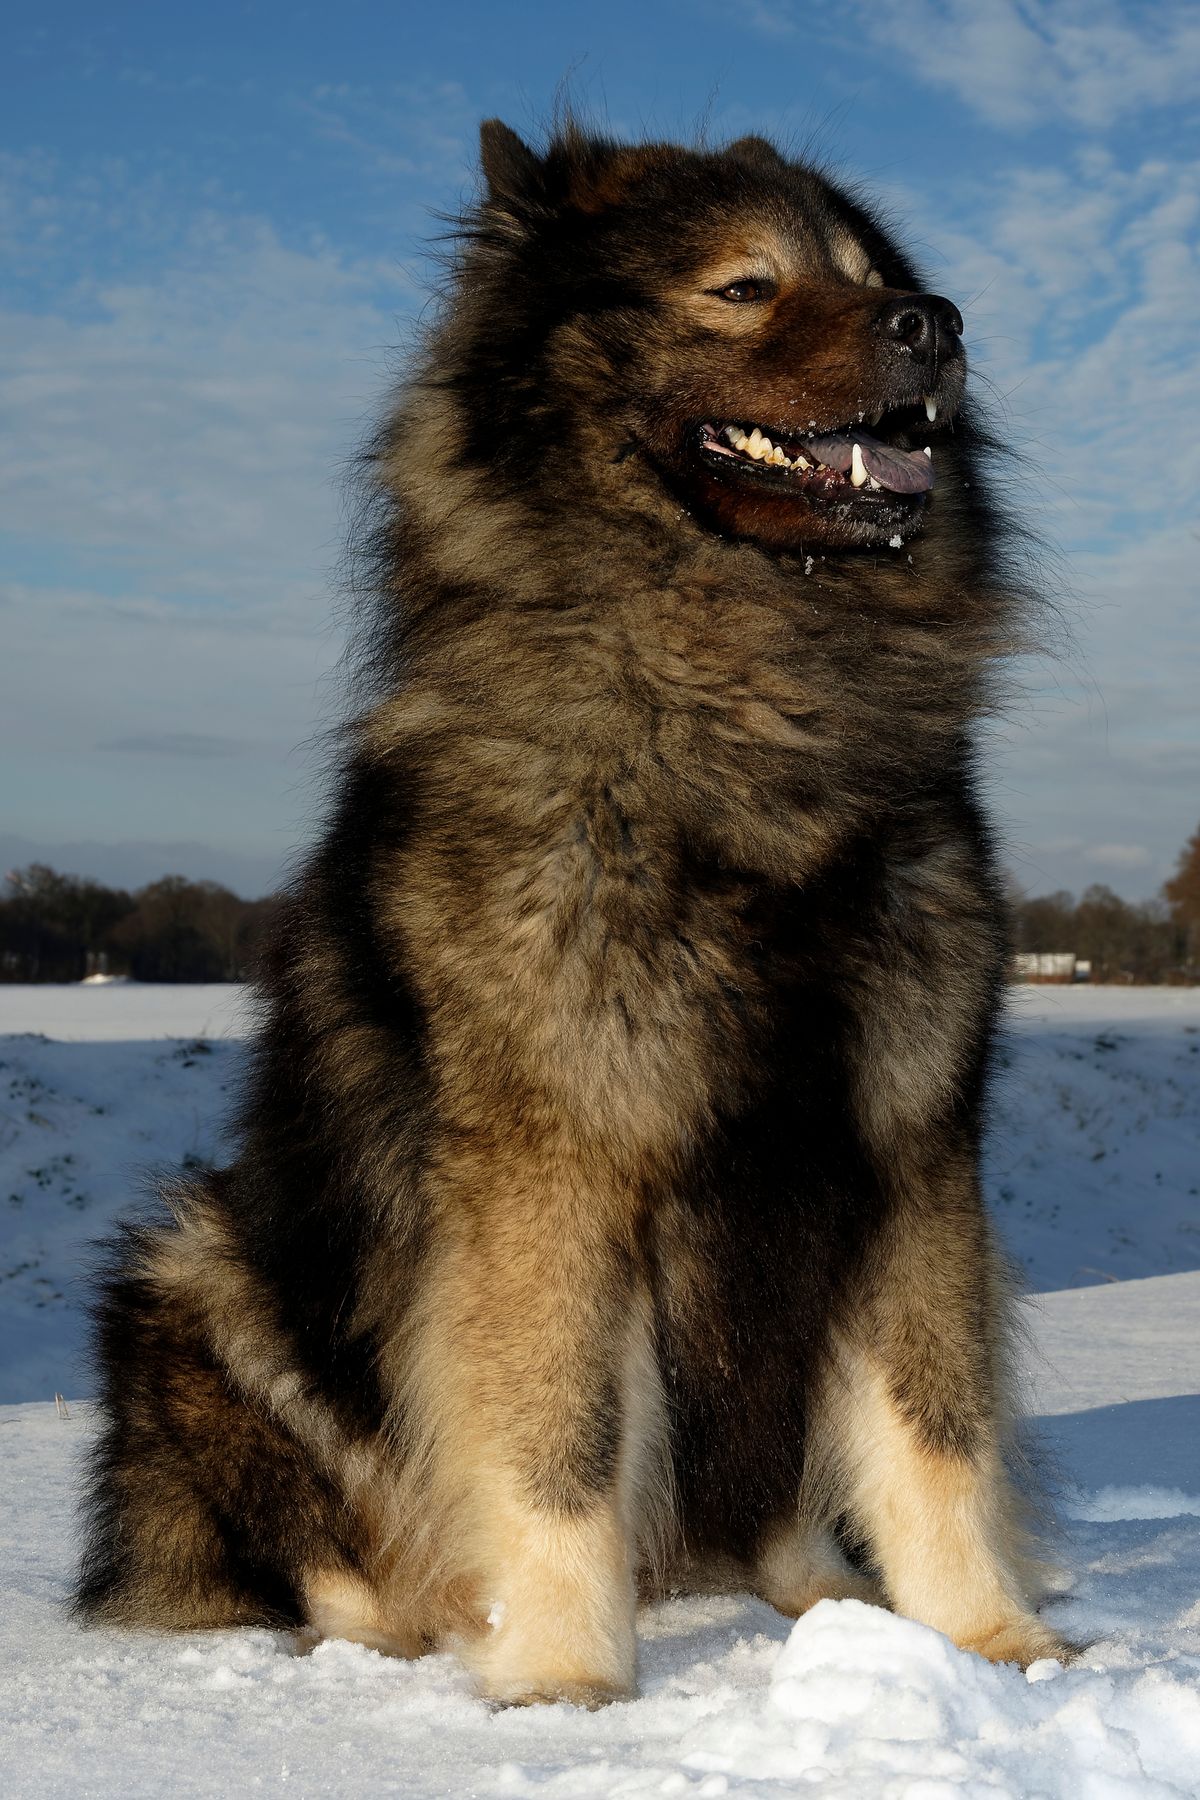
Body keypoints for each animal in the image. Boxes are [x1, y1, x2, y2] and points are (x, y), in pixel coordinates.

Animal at [77, 126, 1072, 1699]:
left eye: (877, 280)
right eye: (744, 287)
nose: (941, 323)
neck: (749, 720)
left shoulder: (908, 1144)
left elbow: (936, 1430)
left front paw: (991, 1644)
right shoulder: (556, 1161)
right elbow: (560, 1443)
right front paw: (561, 1684)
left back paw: (826, 1600)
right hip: (202, 1268)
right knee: (334, 1554)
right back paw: (408, 1640)